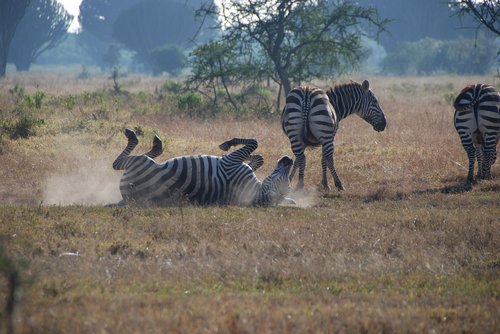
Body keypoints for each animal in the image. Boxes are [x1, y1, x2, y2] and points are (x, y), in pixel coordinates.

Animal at [111, 128, 294, 206]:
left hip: (139, 163)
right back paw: (156, 145)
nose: (289, 159)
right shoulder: (235, 162)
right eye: (285, 180)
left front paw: (227, 144)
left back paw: (136, 136)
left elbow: (254, 142)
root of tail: (127, 197)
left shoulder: (231, 162)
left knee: (118, 163)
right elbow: (259, 157)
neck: (253, 191)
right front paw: (253, 158)